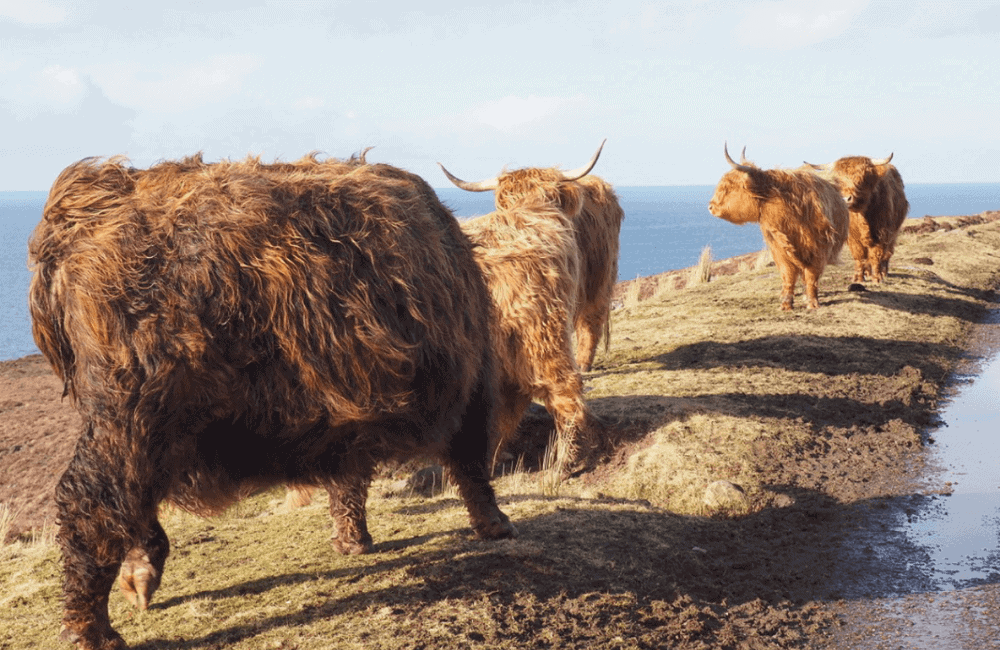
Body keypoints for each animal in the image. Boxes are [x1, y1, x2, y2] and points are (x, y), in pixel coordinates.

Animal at [29, 153, 516, 648]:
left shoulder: (351, 403)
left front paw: (352, 541)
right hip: (133, 410)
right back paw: (91, 630)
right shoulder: (473, 376)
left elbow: (350, 477)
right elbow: (472, 461)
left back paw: (139, 575)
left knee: (125, 499)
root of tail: (90, 200)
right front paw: (496, 525)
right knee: (90, 503)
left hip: (137, 423)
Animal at [708, 146, 848, 310]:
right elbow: (788, 274)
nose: (710, 206)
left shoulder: (819, 249)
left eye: (729, 187)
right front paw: (786, 304)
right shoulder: (778, 248)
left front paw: (812, 303)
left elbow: (811, 276)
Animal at [800, 154, 912, 284]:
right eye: (837, 180)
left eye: (861, 178)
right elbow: (859, 255)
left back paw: (883, 272)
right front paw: (858, 277)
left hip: (893, 234)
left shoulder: (882, 234)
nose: (845, 199)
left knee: (887, 254)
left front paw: (877, 278)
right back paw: (867, 273)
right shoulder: (853, 237)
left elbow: (876, 255)